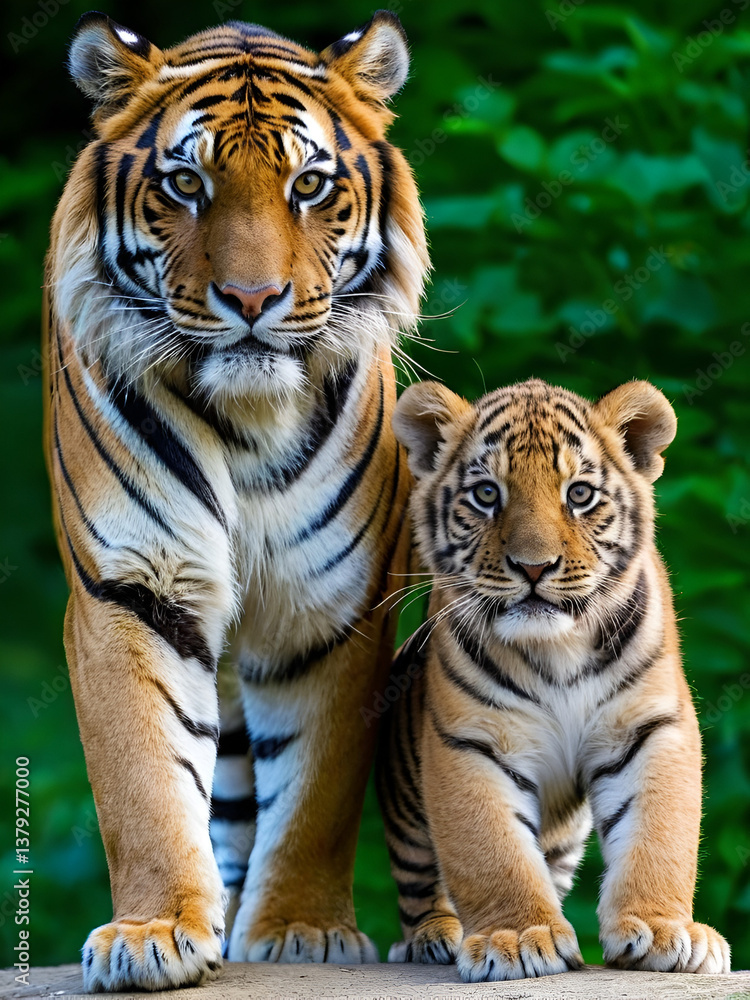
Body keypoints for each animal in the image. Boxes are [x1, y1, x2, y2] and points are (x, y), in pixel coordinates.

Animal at [43, 10, 428, 992]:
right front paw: (155, 931)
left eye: (309, 184)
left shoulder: (333, 607)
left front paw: (300, 928)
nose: (253, 300)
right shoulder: (131, 590)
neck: (248, 420)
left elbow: (319, 789)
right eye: (186, 183)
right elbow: (143, 775)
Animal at [376, 377, 731, 982]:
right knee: (421, 882)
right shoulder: (470, 740)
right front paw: (519, 938)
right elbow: (491, 850)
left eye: (580, 494)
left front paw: (666, 929)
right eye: (487, 494)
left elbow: (659, 834)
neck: (556, 650)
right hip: (406, 806)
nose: (534, 567)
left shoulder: (652, 727)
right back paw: (435, 937)